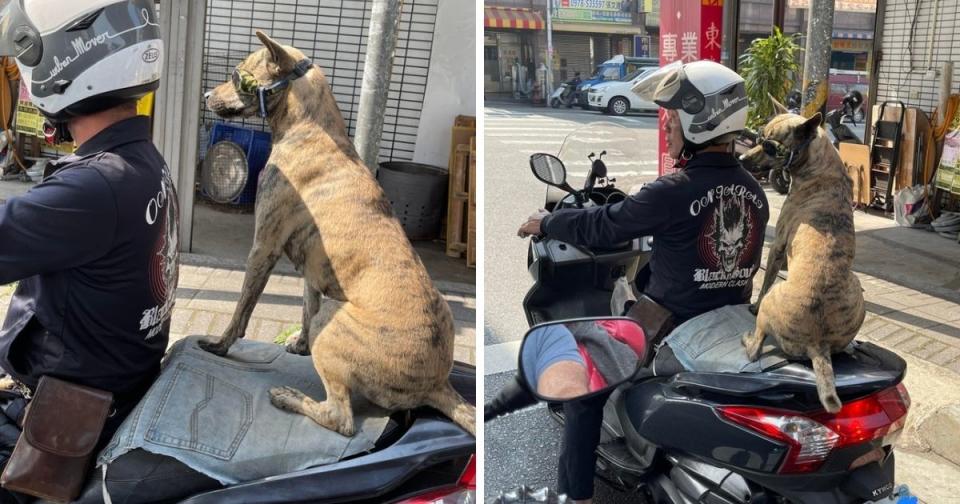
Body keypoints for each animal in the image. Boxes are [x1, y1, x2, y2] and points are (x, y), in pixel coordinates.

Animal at [202, 31, 476, 436]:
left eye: (239, 76)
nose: (207, 95)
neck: (311, 128)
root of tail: (437, 383)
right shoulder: (311, 273)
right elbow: (304, 307)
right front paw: (300, 344)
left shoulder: (263, 247)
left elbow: (241, 310)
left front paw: (220, 345)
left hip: (333, 320)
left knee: (341, 419)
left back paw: (290, 398)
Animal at [740, 99, 868, 414]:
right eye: (759, 137)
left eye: (770, 146)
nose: (742, 158)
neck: (819, 165)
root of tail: (818, 344)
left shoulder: (778, 245)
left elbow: (766, 279)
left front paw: (753, 304)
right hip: (856, 288)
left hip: (771, 306)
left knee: (755, 349)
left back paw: (748, 338)